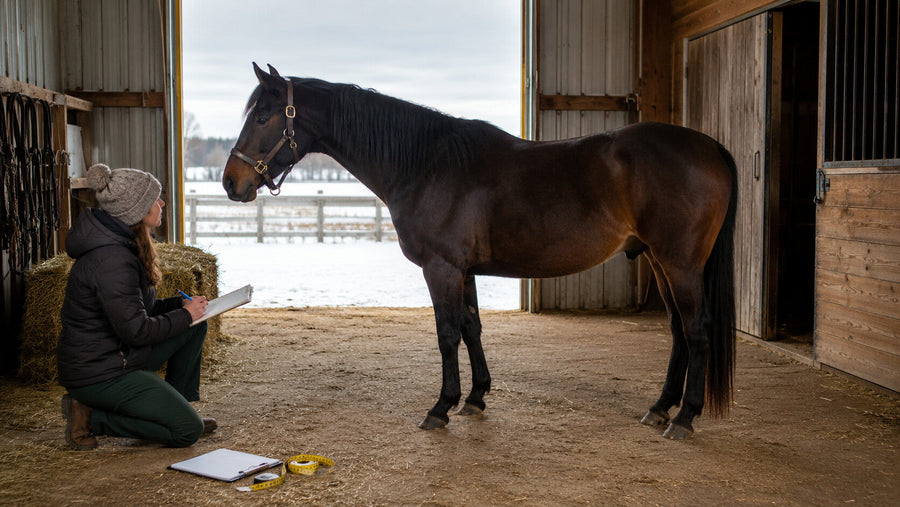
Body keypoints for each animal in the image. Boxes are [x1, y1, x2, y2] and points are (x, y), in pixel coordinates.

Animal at [223, 63, 737, 440]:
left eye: (263, 117)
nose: (231, 182)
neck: (425, 164)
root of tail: (711, 147)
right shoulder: (464, 270)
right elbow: (472, 328)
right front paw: (475, 399)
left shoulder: (442, 268)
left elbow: (447, 333)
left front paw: (441, 407)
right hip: (658, 261)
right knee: (678, 330)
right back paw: (660, 408)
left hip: (679, 264)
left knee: (697, 330)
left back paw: (684, 418)